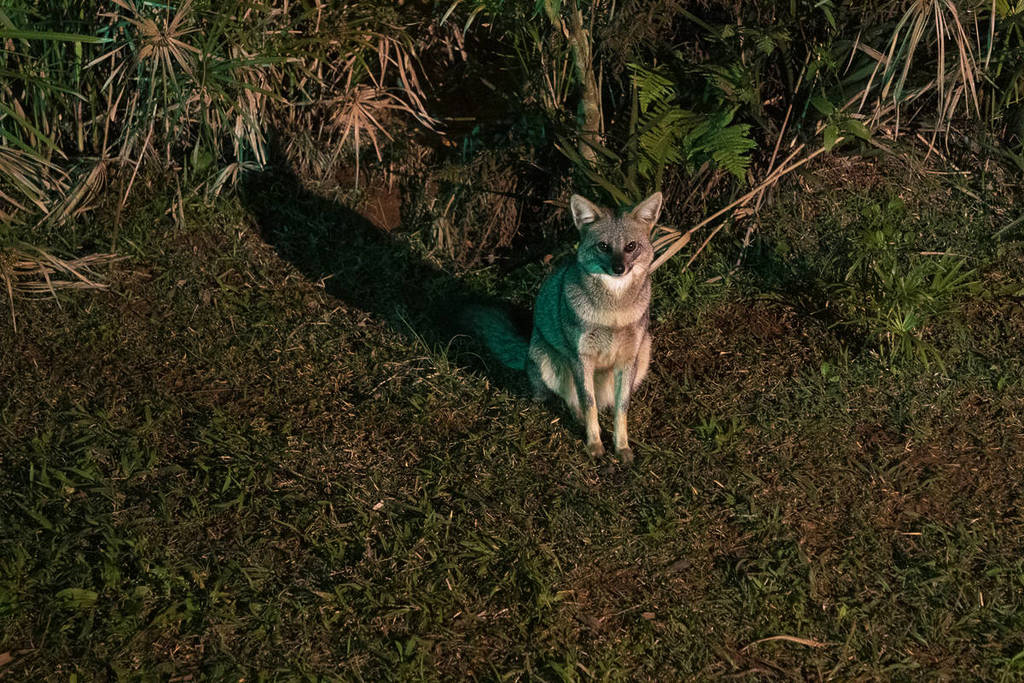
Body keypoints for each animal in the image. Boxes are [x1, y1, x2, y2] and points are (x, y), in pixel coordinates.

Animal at [528, 192, 663, 464]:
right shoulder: (581, 358)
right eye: (603, 246)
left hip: (643, 355)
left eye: (630, 246)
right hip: (551, 364)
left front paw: (621, 446)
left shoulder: (628, 359)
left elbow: (622, 409)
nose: (618, 269)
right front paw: (594, 444)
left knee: (606, 403)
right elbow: (588, 403)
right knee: (573, 400)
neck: (613, 315)